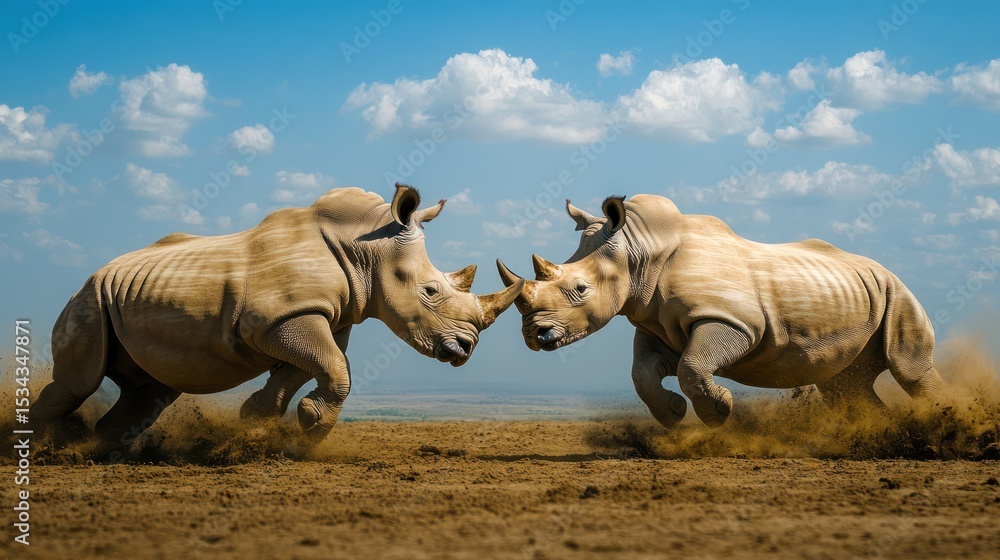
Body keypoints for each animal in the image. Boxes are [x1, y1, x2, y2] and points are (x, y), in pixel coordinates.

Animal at [32, 184, 522, 450]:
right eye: (430, 292)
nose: (465, 350)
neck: (367, 249)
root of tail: (95, 272)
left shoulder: (321, 319)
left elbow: (311, 368)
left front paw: (258, 426)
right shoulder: (277, 319)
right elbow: (334, 368)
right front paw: (309, 425)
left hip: (123, 298)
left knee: (151, 390)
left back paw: (97, 450)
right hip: (89, 299)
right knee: (81, 381)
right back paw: (46, 449)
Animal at [497, 194, 943, 428]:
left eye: (580, 289)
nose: (534, 336)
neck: (638, 255)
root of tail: (884, 269)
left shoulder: (735, 321)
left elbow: (693, 365)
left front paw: (718, 413)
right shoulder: (657, 325)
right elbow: (643, 374)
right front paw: (674, 415)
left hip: (897, 293)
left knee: (908, 367)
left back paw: (937, 422)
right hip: (866, 296)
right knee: (844, 384)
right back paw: (876, 432)